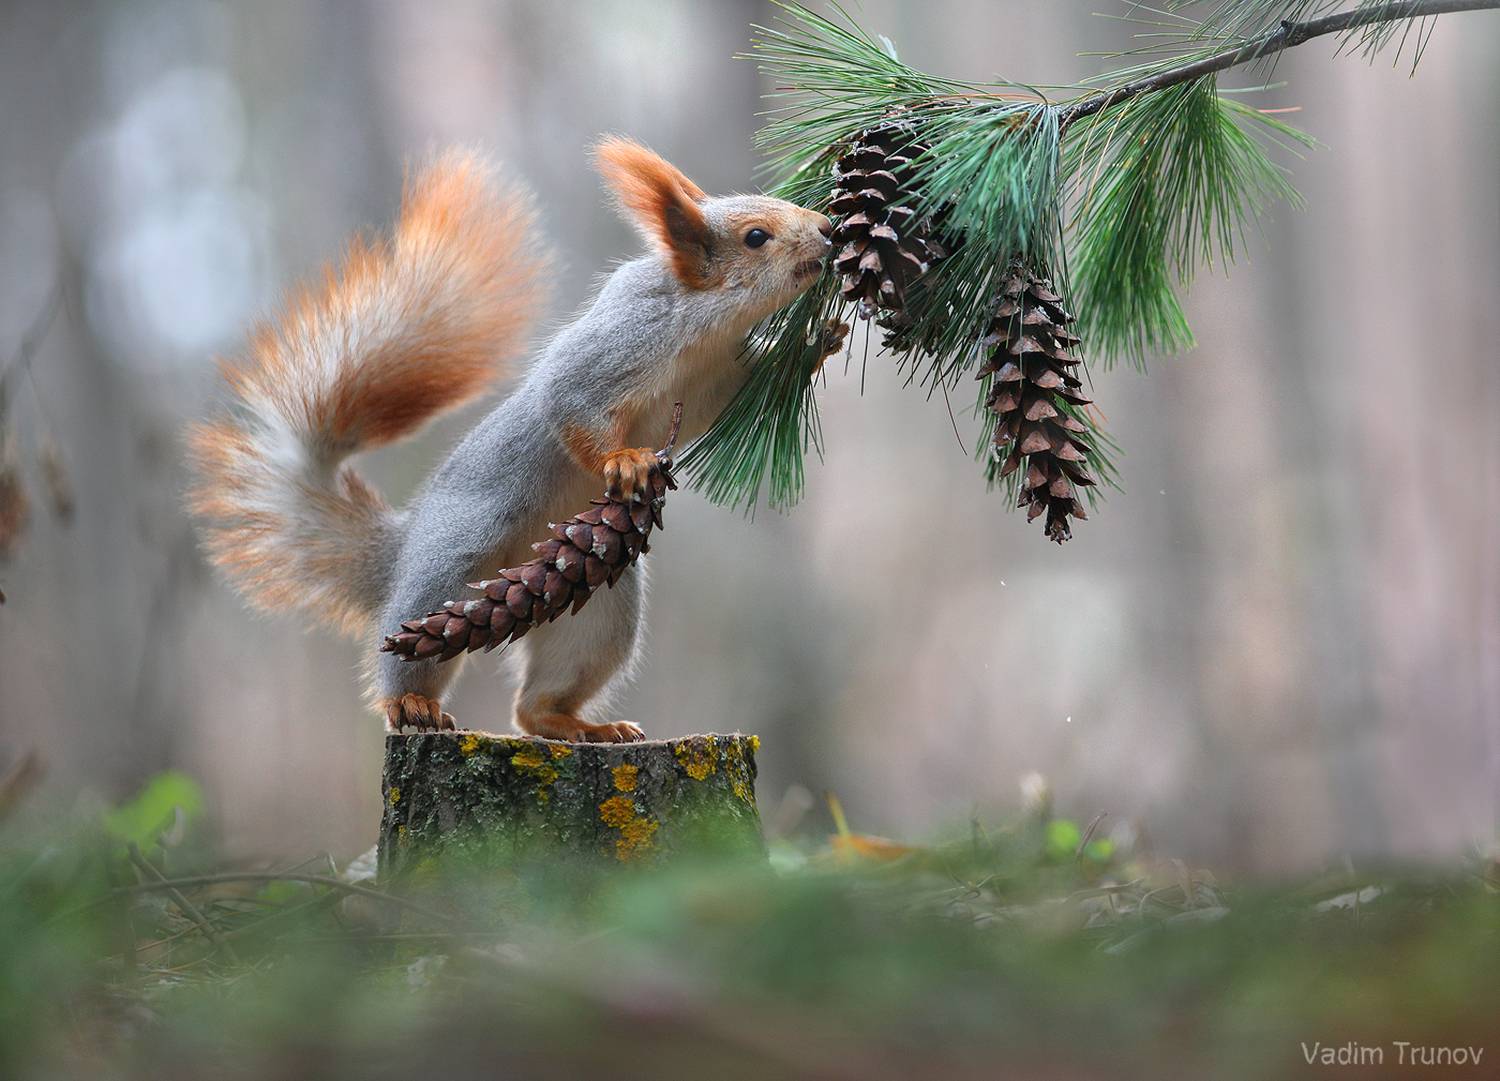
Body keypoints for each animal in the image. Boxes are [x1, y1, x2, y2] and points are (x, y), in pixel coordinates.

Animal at [187, 139, 843, 742]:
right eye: (756, 237)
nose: (829, 229)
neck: (705, 326)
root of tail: (403, 548)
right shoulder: (613, 350)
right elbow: (569, 405)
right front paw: (624, 460)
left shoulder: (722, 380)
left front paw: (819, 342)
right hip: (448, 564)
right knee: (407, 641)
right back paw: (410, 703)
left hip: (597, 607)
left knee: (535, 704)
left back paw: (574, 723)